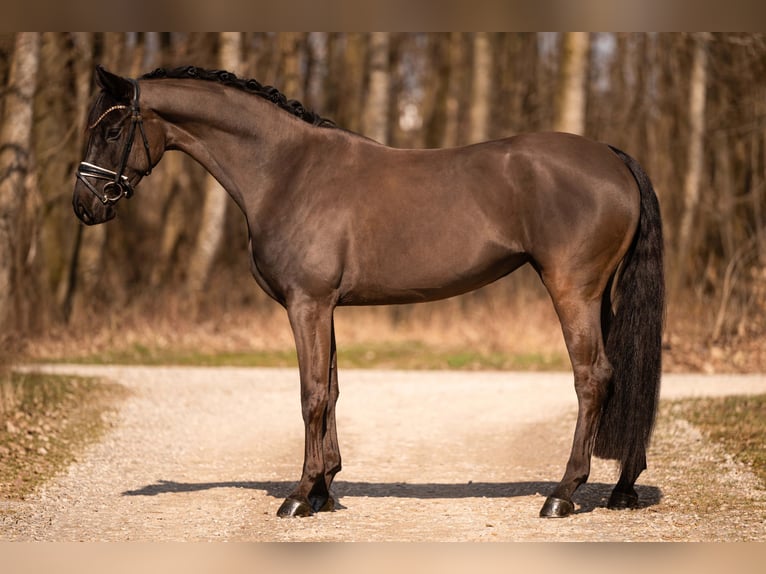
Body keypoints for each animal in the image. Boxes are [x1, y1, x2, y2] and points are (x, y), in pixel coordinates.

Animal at [73, 65, 664, 519]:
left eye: (112, 130)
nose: (86, 206)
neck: (286, 170)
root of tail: (611, 156)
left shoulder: (306, 304)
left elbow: (311, 395)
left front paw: (298, 496)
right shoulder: (323, 306)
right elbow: (332, 391)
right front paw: (324, 490)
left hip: (572, 291)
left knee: (593, 378)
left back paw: (562, 494)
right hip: (599, 296)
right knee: (621, 376)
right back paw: (622, 488)